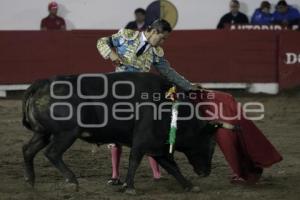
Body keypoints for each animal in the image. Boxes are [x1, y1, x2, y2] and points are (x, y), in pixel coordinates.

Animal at [21, 72, 218, 193]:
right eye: (211, 145)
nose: (207, 172)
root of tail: (42, 83)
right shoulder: (144, 139)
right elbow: (135, 160)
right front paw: (129, 187)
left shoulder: (157, 145)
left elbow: (172, 167)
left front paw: (189, 186)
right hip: (67, 133)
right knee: (52, 153)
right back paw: (72, 181)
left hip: (43, 133)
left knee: (28, 150)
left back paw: (30, 181)